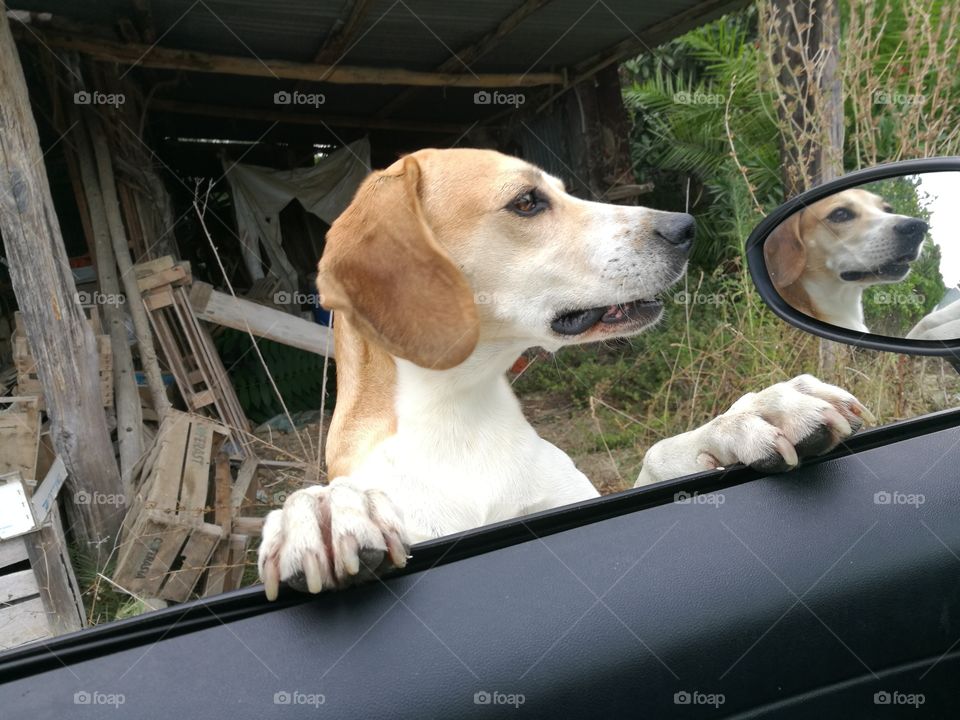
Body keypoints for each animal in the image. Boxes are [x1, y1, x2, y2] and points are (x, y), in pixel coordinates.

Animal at [256, 149, 872, 600]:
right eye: (528, 201)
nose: (685, 226)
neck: (464, 416)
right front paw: (324, 509)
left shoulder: (588, 504)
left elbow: (659, 455)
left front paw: (756, 414)